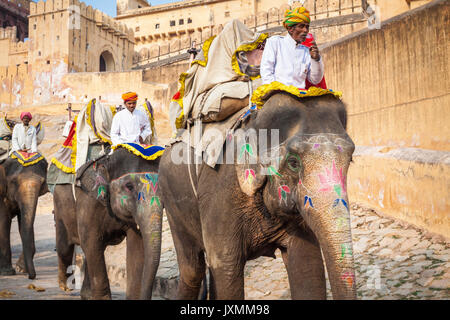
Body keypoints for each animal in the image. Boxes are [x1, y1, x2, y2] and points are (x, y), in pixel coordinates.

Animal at [160, 93, 356, 300]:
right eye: (293, 163)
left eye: (350, 160)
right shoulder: (219, 191)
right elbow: (225, 266)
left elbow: (307, 263)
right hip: (172, 200)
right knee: (192, 270)